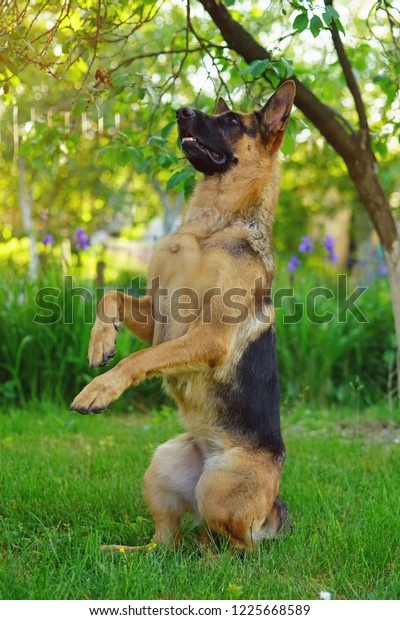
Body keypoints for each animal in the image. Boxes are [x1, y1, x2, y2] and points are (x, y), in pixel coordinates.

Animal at [71, 78, 296, 552]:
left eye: (233, 122)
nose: (181, 111)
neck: (212, 224)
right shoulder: (158, 315)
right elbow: (110, 296)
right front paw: (101, 343)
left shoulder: (207, 337)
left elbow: (140, 359)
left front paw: (99, 389)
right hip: (162, 462)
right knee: (167, 544)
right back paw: (124, 552)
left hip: (218, 487)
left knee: (238, 548)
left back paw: (211, 558)